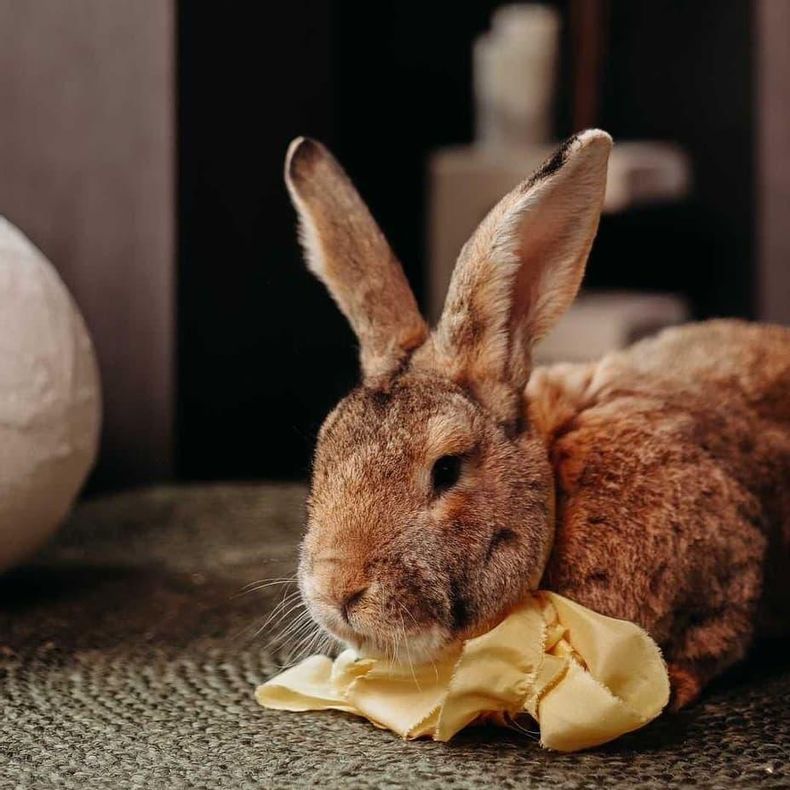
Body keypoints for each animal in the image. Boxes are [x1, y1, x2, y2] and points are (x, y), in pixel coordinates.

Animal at [286, 130, 790, 712]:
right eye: (325, 453)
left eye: (447, 469)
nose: (335, 591)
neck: (556, 486)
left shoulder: (734, 572)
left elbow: (719, 634)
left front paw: (673, 688)